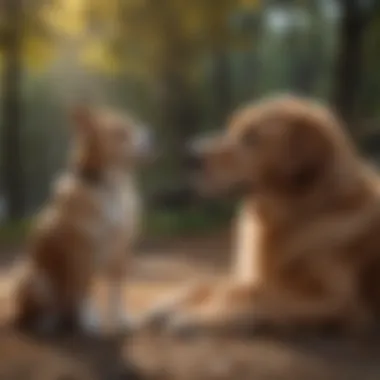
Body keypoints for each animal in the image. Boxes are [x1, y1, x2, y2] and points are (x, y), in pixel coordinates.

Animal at [14, 105, 151, 334]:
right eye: (121, 133)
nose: (151, 137)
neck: (108, 187)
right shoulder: (81, 254)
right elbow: (85, 289)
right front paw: (89, 323)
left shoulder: (120, 252)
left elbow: (117, 291)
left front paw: (121, 319)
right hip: (36, 278)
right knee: (38, 311)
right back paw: (48, 323)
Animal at [142, 95, 380, 336]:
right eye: (231, 128)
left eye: (251, 138)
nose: (189, 155)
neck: (299, 214)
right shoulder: (250, 274)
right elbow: (207, 283)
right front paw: (168, 304)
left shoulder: (338, 301)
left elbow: (249, 292)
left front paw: (196, 316)